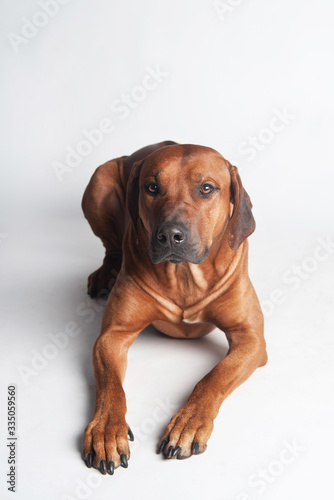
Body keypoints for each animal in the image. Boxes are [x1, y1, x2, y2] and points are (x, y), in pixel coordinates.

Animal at [80, 139, 266, 474]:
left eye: (206, 188)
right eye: (152, 187)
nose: (169, 234)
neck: (184, 275)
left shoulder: (252, 339)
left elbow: (214, 377)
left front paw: (189, 423)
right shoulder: (112, 336)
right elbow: (111, 386)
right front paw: (106, 431)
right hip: (99, 181)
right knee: (111, 247)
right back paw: (105, 272)